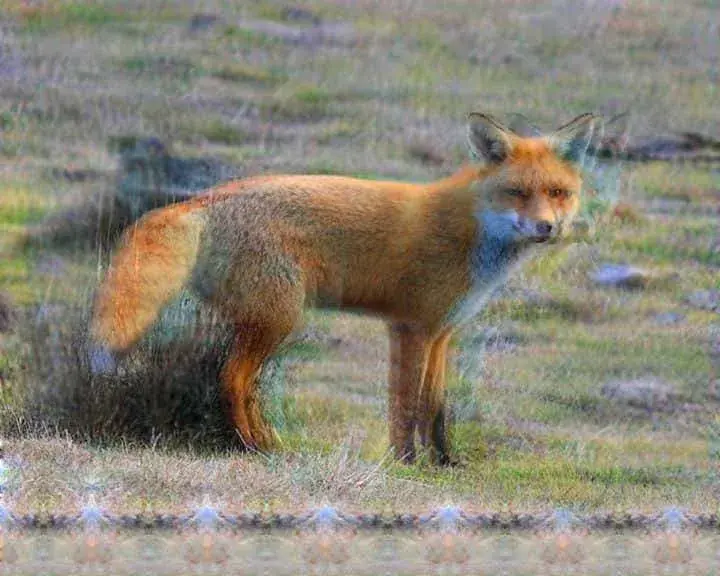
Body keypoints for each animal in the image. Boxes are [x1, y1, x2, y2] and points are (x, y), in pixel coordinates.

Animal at [90, 112, 598, 465]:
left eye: (557, 193)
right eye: (517, 192)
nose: (547, 228)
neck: (473, 234)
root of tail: (202, 199)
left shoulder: (442, 333)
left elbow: (435, 407)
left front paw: (444, 462)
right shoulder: (410, 328)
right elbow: (406, 405)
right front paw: (405, 463)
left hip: (269, 324)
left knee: (245, 385)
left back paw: (269, 441)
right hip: (279, 319)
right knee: (230, 379)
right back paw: (253, 447)